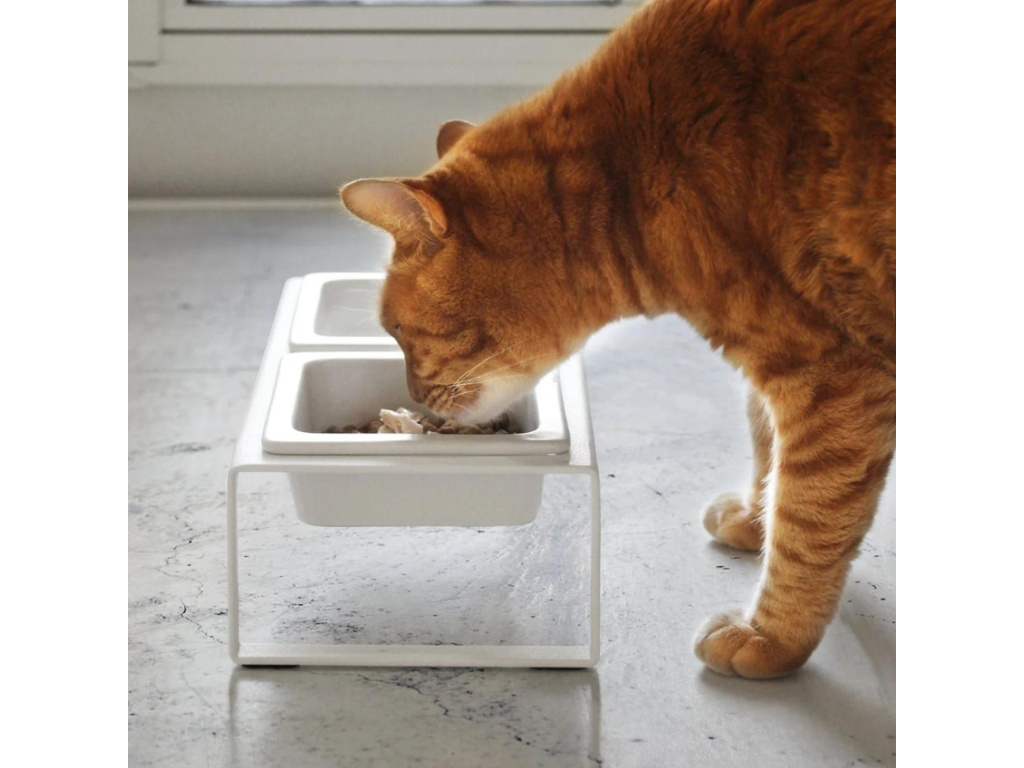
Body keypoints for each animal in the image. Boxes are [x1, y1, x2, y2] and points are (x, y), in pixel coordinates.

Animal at [340, 0, 895, 679]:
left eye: (397, 332)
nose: (415, 401)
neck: (636, 171)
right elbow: (768, 444)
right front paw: (757, 519)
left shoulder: (832, 375)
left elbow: (810, 516)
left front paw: (772, 636)